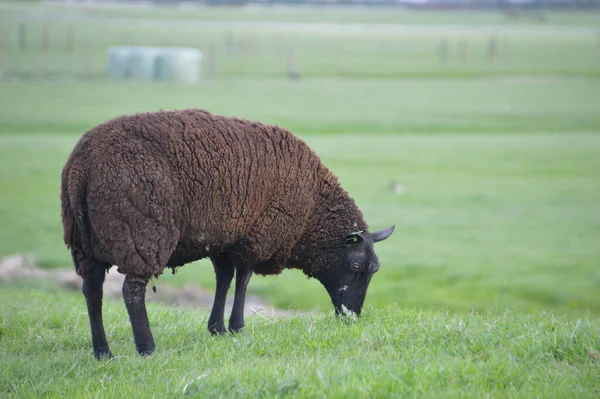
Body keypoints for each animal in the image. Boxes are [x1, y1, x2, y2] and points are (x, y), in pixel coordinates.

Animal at [61, 108, 394, 360]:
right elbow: (243, 279)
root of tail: (82, 167)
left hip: (83, 244)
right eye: (355, 265)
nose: (352, 316)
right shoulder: (255, 235)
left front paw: (216, 328)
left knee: (92, 291)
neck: (312, 210)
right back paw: (147, 348)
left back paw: (102, 352)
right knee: (131, 291)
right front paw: (236, 326)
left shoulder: (223, 239)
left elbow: (224, 278)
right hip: (140, 234)